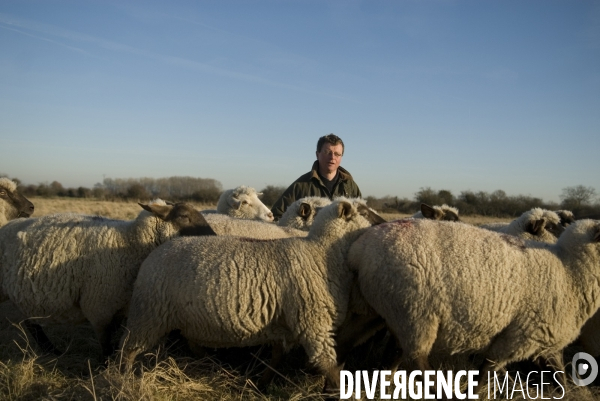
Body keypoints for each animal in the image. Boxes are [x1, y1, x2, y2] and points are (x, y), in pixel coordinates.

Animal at [0, 200, 216, 356]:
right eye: (184, 216)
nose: (214, 237)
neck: (129, 242)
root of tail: (6, 225)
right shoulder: (98, 306)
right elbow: (105, 341)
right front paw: (105, 365)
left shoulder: (120, 306)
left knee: (29, 322)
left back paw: (50, 349)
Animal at [119, 198, 386, 392]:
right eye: (364, 211)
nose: (384, 223)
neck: (320, 254)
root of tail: (156, 253)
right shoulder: (313, 323)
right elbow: (329, 365)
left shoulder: (284, 322)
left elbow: (277, 357)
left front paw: (263, 383)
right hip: (147, 314)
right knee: (128, 349)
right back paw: (122, 379)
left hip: (179, 316)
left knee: (190, 343)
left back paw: (212, 366)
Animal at [344, 217, 600, 392]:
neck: (570, 272)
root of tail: (359, 248)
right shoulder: (517, 338)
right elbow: (485, 374)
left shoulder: (546, 343)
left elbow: (560, 376)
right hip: (415, 314)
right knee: (415, 360)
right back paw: (440, 391)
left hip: (390, 311)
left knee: (389, 352)